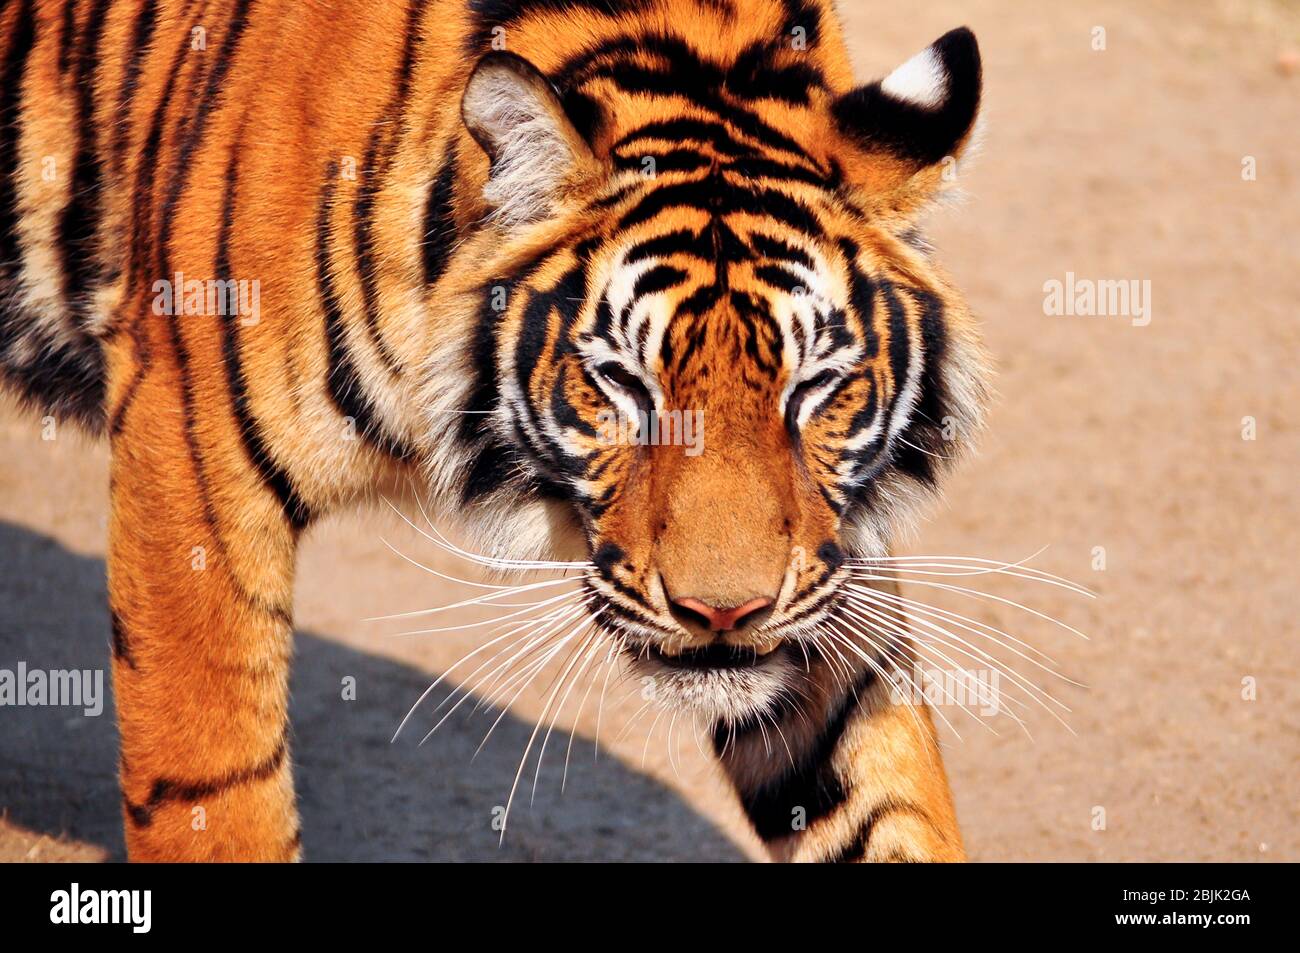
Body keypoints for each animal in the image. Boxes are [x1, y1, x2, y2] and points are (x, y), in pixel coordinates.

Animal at [0, 0, 987, 863]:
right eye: (622, 383)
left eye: (813, 387)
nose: (724, 615)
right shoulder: (190, 453)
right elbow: (211, 785)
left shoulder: (826, 564)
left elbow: (882, 783)